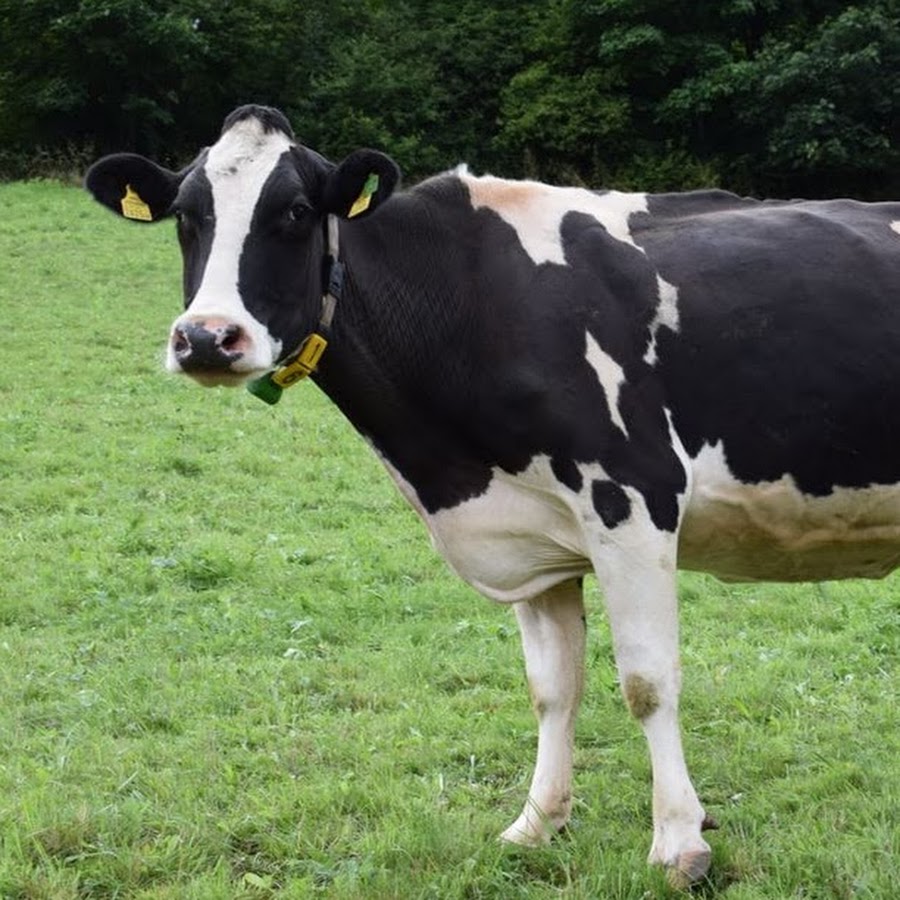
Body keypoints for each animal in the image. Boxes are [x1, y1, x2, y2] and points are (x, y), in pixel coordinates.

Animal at [85, 104, 900, 886]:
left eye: (293, 210)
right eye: (187, 214)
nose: (206, 338)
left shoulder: (633, 498)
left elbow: (647, 682)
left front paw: (678, 843)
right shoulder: (533, 536)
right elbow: (553, 687)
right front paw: (538, 823)